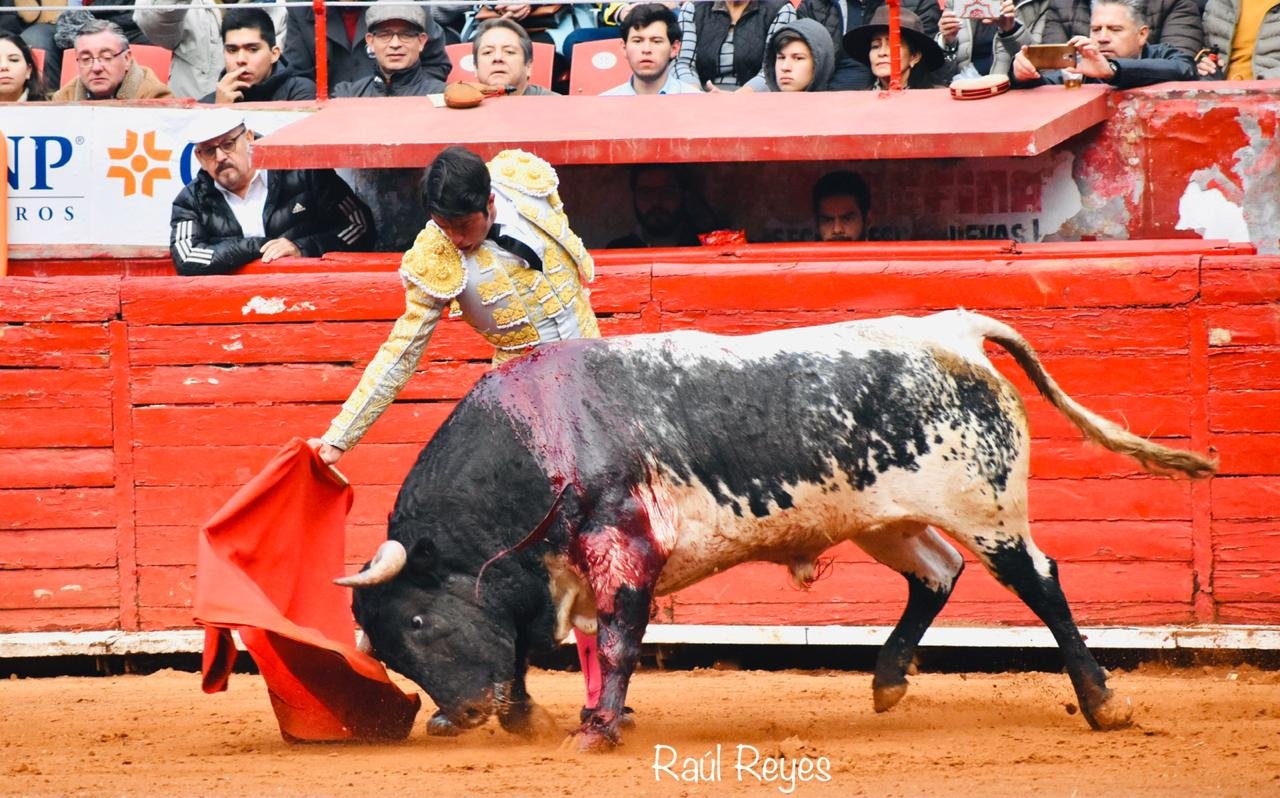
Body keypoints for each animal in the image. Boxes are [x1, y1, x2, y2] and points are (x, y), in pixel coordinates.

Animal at [336, 310, 1214, 751]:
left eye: (418, 621)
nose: (461, 716)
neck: (538, 441)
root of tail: (956, 329)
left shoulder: (624, 551)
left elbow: (615, 643)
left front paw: (596, 732)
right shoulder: (546, 577)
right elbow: (522, 643)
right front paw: (533, 716)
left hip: (987, 509)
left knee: (1042, 583)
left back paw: (1102, 703)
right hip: (885, 520)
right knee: (936, 574)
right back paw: (887, 680)